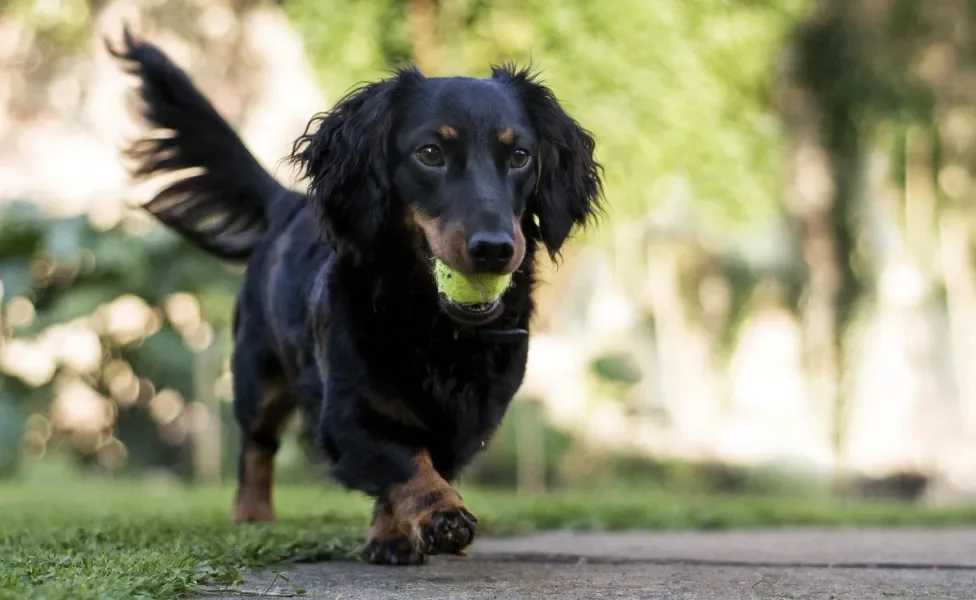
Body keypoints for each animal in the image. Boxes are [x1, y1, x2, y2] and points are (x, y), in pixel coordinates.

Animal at [110, 27, 608, 564]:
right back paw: (252, 514)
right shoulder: (346, 413)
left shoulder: (466, 424)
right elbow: (404, 460)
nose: (495, 249)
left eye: (519, 156)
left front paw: (391, 535)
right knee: (256, 446)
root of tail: (286, 203)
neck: (435, 327)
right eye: (430, 153)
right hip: (257, 374)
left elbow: (420, 464)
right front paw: (439, 515)